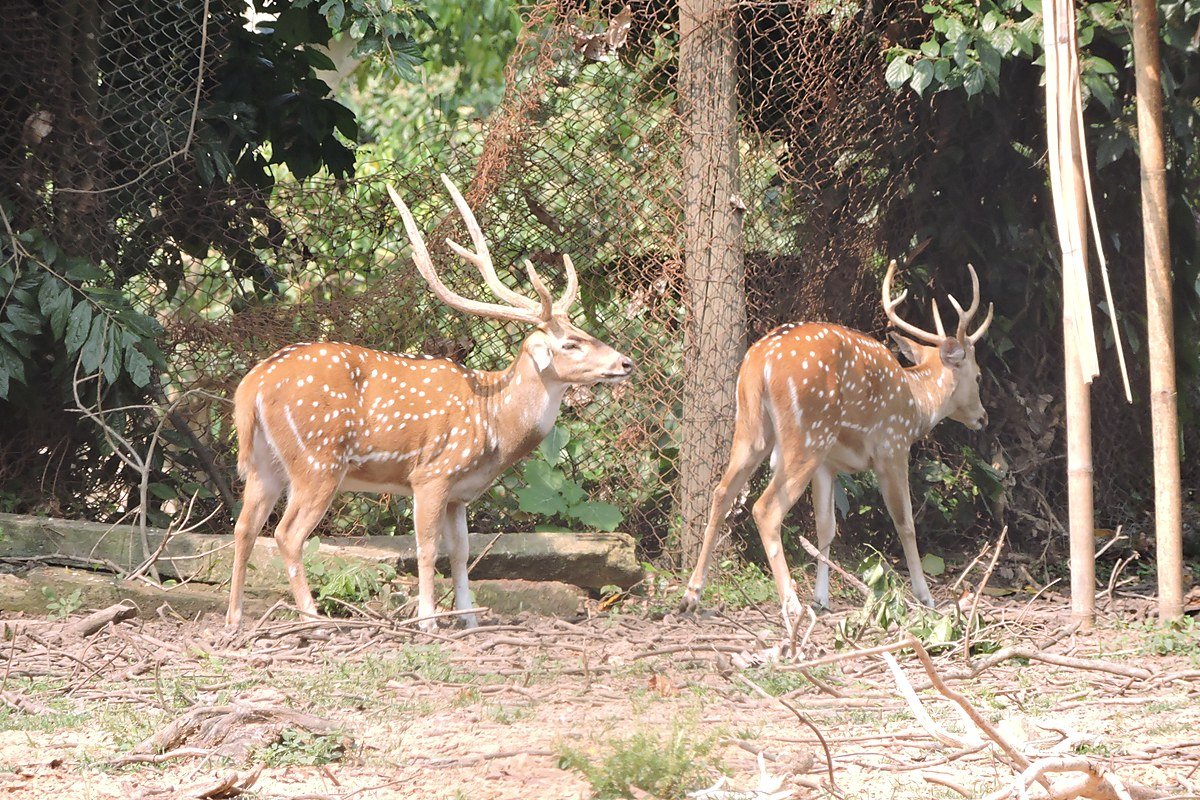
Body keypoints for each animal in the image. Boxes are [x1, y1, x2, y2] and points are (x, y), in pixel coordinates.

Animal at [224, 175, 634, 631]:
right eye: (570, 344)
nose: (626, 362)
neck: (494, 424)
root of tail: (252, 385)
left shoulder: (460, 493)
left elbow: (462, 553)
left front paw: (469, 619)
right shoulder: (431, 473)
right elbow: (426, 548)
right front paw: (428, 620)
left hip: (265, 462)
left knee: (244, 528)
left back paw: (234, 620)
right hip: (318, 459)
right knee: (287, 534)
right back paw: (315, 619)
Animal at [678, 260, 993, 632]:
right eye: (978, 375)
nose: (983, 417)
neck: (917, 405)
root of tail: (760, 362)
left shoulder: (829, 466)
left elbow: (825, 529)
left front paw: (823, 598)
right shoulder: (892, 447)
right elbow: (905, 522)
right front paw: (925, 596)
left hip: (752, 429)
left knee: (722, 492)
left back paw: (691, 595)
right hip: (807, 435)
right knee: (766, 509)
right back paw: (792, 605)